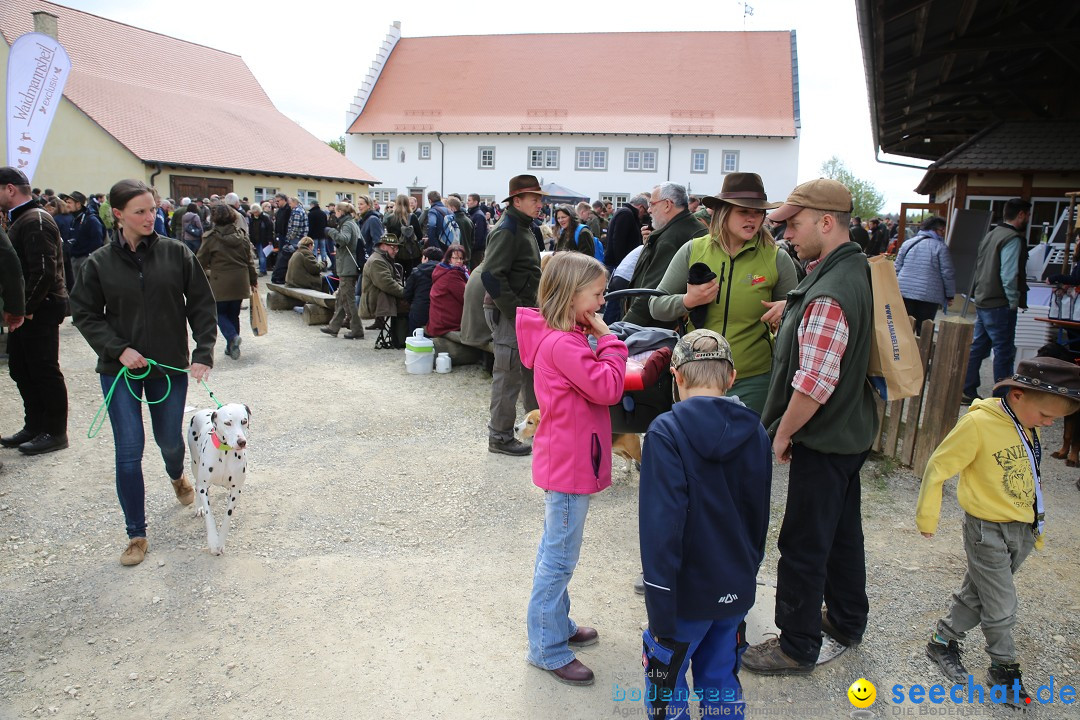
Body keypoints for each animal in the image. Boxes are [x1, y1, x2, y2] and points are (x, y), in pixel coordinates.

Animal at [189, 403, 251, 557]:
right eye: (228, 423)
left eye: (244, 421)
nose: (242, 442)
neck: (225, 452)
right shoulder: (204, 487)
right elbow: (209, 515)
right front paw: (212, 541)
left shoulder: (236, 491)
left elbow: (227, 518)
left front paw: (220, 542)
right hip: (195, 464)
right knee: (196, 484)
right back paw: (198, 507)